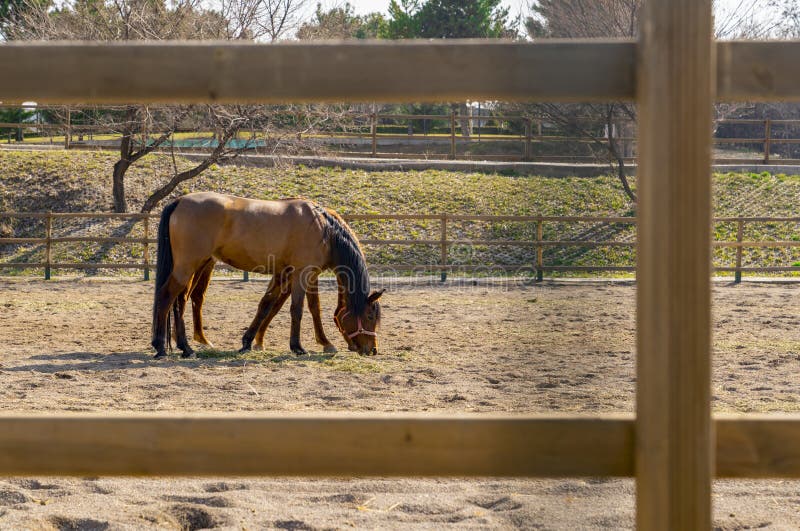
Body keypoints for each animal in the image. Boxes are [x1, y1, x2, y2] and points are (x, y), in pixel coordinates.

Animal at [154, 193, 388, 360]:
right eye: (369, 316)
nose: (373, 350)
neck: (324, 229)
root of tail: (180, 201)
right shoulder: (302, 273)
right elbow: (297, 310)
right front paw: (297, 347)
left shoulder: (298, 274)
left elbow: (286, 307)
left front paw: (248, 342)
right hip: (188, 266)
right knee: (167, 297)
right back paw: (165, 347)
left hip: (194, 266)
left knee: (180, 301)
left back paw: (184, 347)